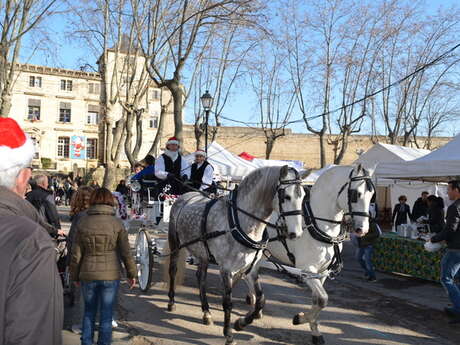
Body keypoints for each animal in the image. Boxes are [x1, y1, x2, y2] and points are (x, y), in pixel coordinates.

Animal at [244, 164, 374, 344]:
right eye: (356, 194)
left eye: (372, 195)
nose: (363, 229)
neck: (317, 224)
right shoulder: (307, 270)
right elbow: (323, 299)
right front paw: (300, 318)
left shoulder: (322, 272)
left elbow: (317, 300)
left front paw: (314, 330)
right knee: (249, 274)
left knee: (249, 274)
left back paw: (253, 299)